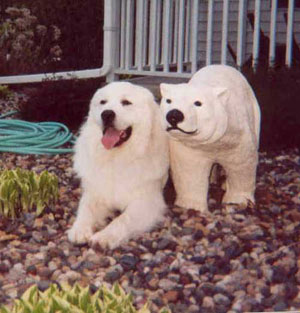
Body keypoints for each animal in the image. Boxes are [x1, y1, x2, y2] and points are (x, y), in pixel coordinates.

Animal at [69, 82, 170, 249]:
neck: (116, 159)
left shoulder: (147, 203)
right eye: (103, 102)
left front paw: (104, 236)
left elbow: (122, 220)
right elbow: (85, 209)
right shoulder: (95, 193)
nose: (107, 114)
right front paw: (79, 229)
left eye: (126, 102)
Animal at [159, 65, 260, 212]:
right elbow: (190, 168)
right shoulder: (189, 145)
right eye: (168, 100)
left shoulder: (237, 137)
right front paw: (191, 205)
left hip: (255, 109)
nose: (174, 115)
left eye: (198, 103)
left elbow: (242, 164)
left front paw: (238, 200)